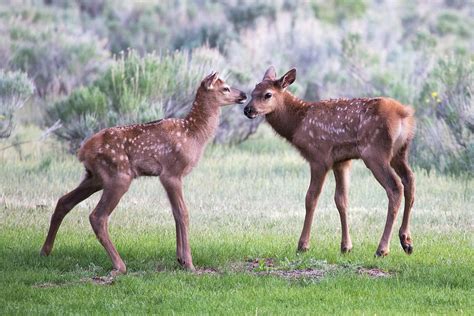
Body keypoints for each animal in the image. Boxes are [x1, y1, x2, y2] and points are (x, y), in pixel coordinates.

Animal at [40, 72, 246, 274]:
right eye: (225, 88)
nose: (243, 95)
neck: (194, 135)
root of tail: (83, 150)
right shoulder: (171, 172)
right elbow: (183, 213)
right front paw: (188, 263)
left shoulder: (170, 176)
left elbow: (175, 212)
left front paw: (180, 259)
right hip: (119, 175)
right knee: (97, 216)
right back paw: (120, 265)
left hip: (95, 177)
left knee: (64, 201)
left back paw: (45, 251)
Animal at [244, 66, 414, 256]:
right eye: (252, 93)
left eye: (267, 94)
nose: (247, 109)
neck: (297, 124)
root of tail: (404, 115)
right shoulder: (341, 161)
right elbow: (341, 200)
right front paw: (346, 246)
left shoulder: (319, 157)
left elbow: (311, 198)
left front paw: (303, 245)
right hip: (399, 153)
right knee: (409, 180)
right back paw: (406, 241)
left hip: (375, 152)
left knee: (395, 187)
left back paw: (382, 248)